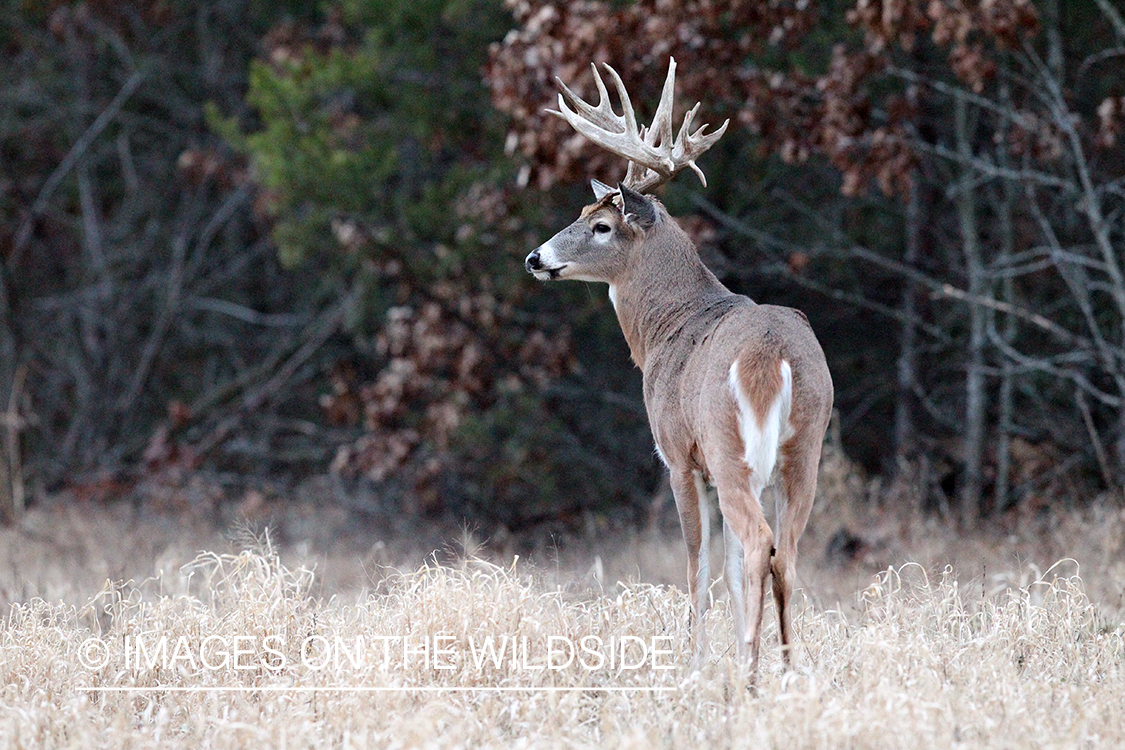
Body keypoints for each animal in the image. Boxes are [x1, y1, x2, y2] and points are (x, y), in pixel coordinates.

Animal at [522, 58, 832, 679]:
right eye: (581, 212)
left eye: (602, 226)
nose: (535, 258)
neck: (666, 326)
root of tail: (772, 355)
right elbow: (731, 573)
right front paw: (735, 656)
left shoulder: (679, 456)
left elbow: (699, 567)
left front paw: (696, 665)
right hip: (804, 446)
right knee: (783, 552)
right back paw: (784, 672)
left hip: (728, 444)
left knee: (759, 542)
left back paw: (753, 676)